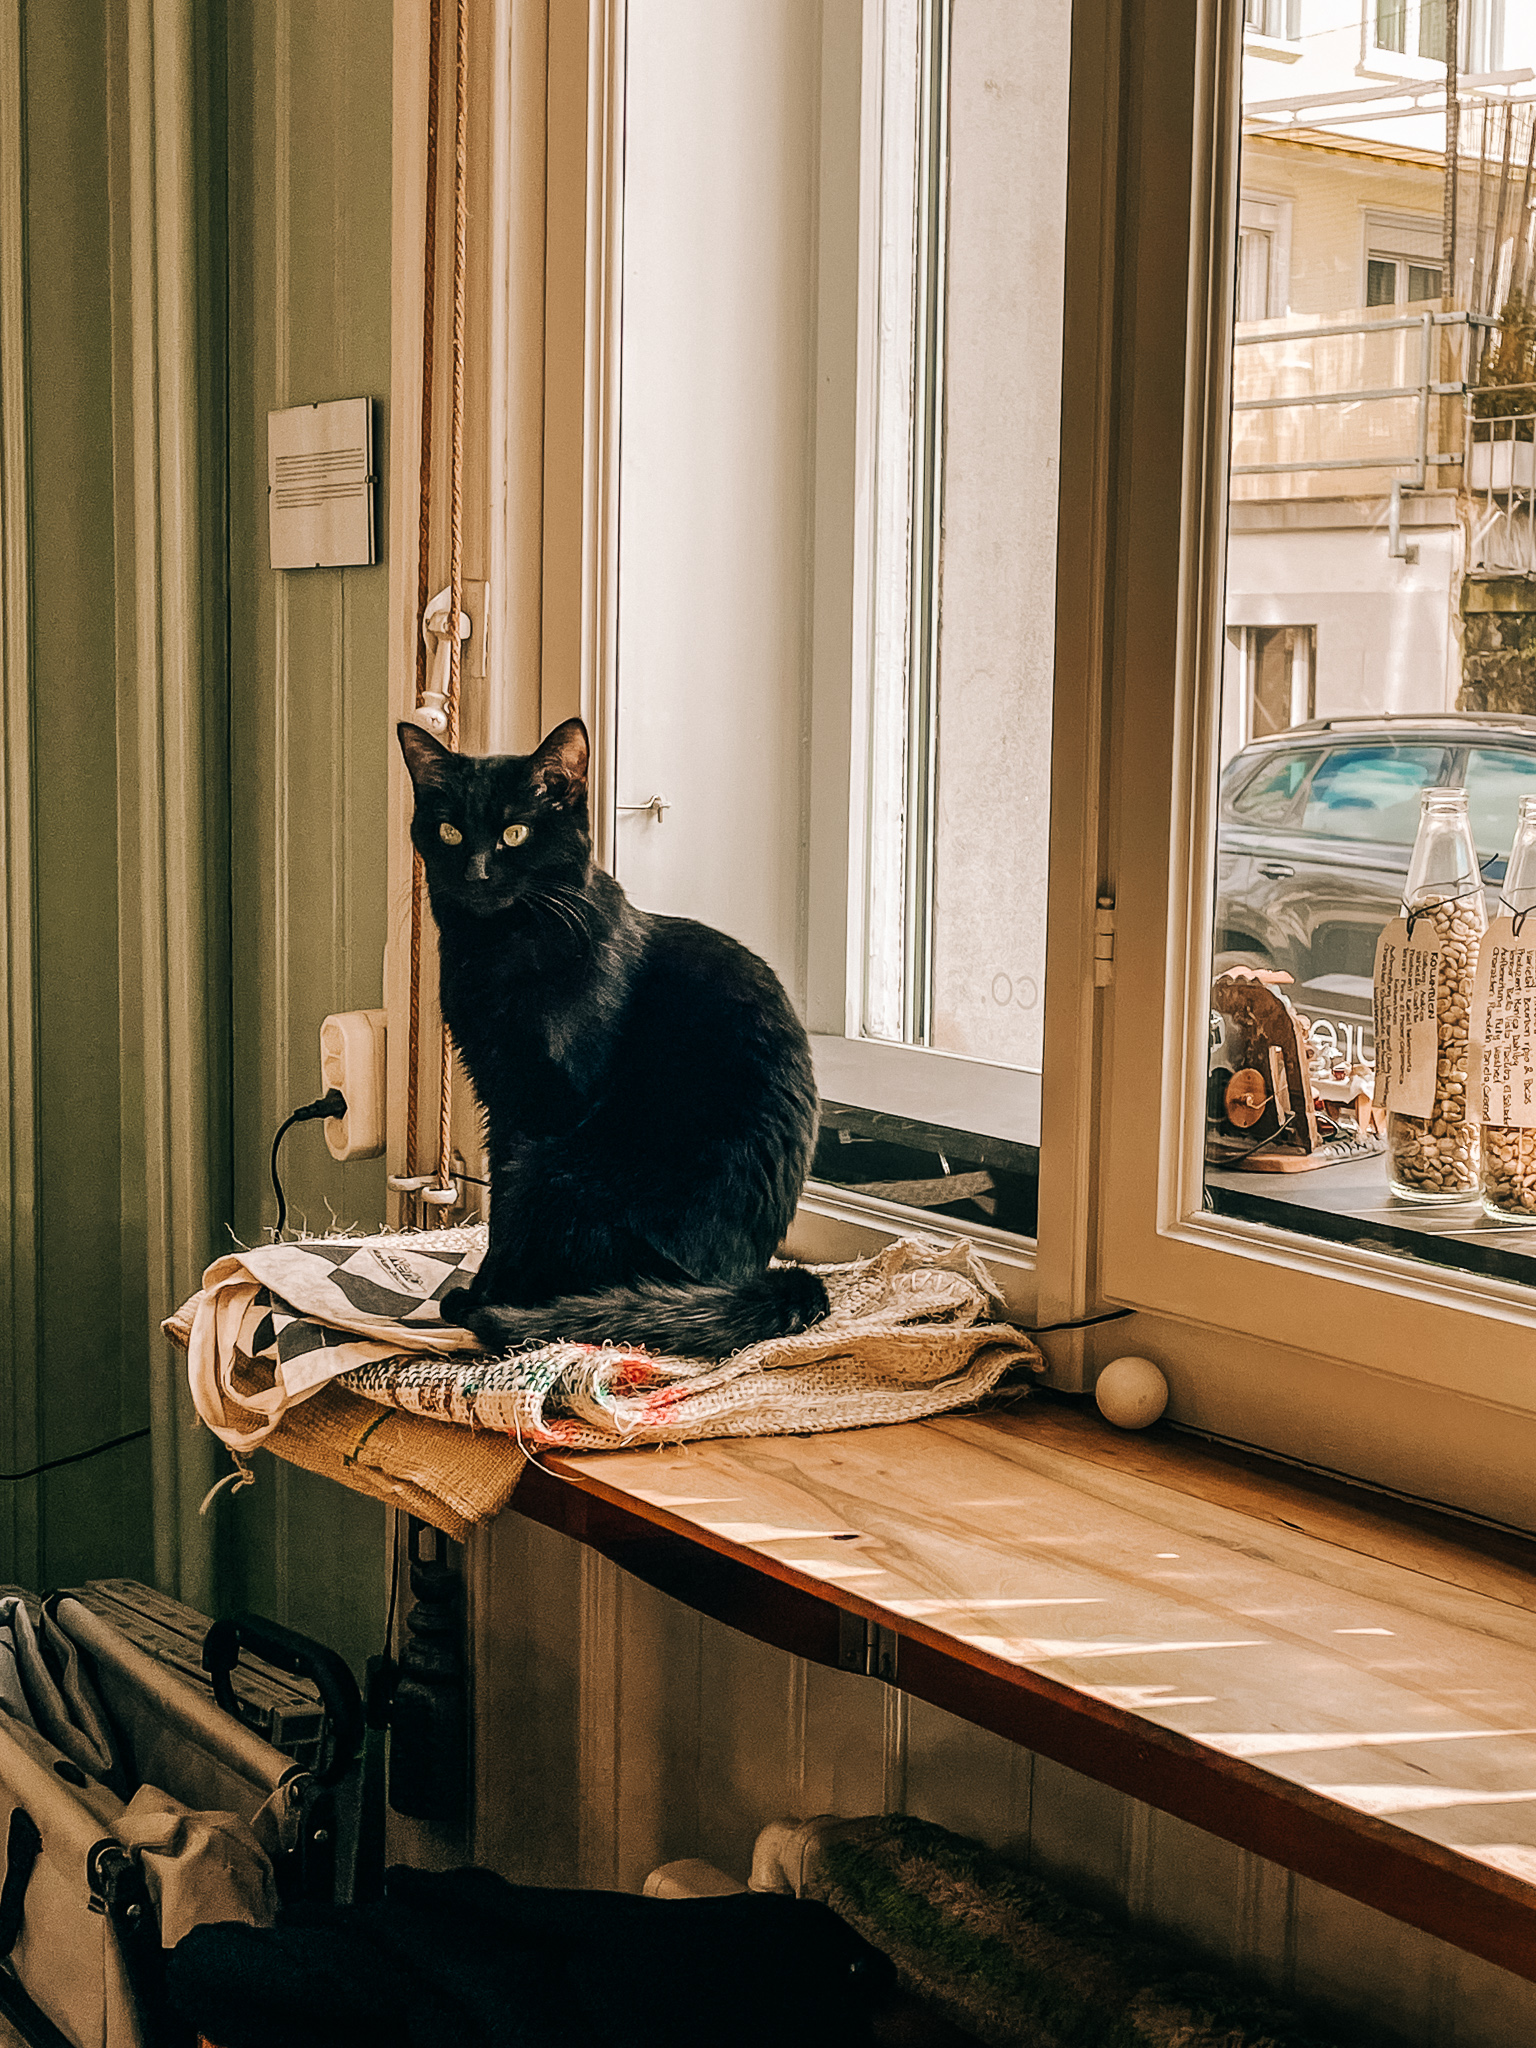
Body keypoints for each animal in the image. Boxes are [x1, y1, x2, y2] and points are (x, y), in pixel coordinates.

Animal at [397, 720, 831, 1359]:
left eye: (514, 833)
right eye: (449, 831)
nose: (475, 873)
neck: (497, 949)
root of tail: (747, 1279)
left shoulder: (542, 1104)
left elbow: (506, 1212)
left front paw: (484, 1296)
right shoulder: (498, 1091)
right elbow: (500, 1194)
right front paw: (480, 1293)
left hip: (564, 1172)